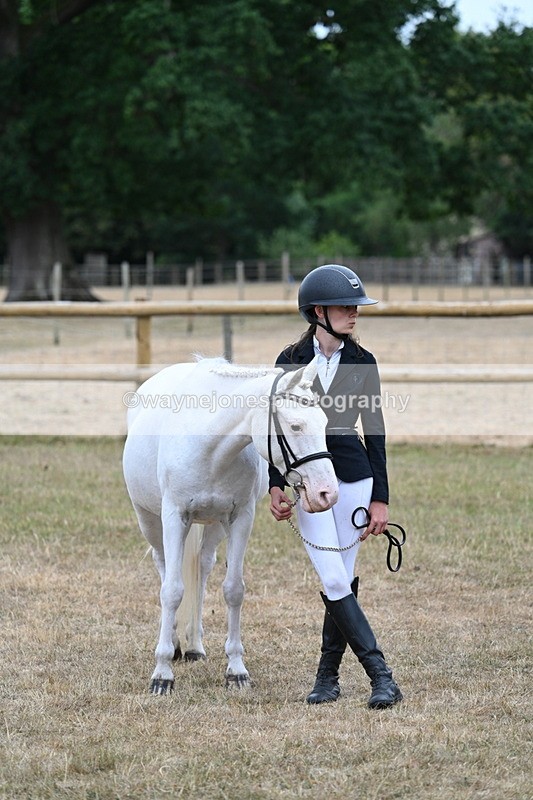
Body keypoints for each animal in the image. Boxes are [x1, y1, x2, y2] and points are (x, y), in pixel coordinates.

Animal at [122, 355, 338, 695]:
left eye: (324, 422)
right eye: (295, 425)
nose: (327, 492)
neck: (209, 446)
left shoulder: (240, 519)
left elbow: (234, 590)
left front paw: (236, 670)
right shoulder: (174, 517)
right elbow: (172, 591)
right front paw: (162, 673)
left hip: (213, 526)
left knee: (202, 568)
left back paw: (194, 646)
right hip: (150, 520)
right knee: (163, 566)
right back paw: (174, 642)